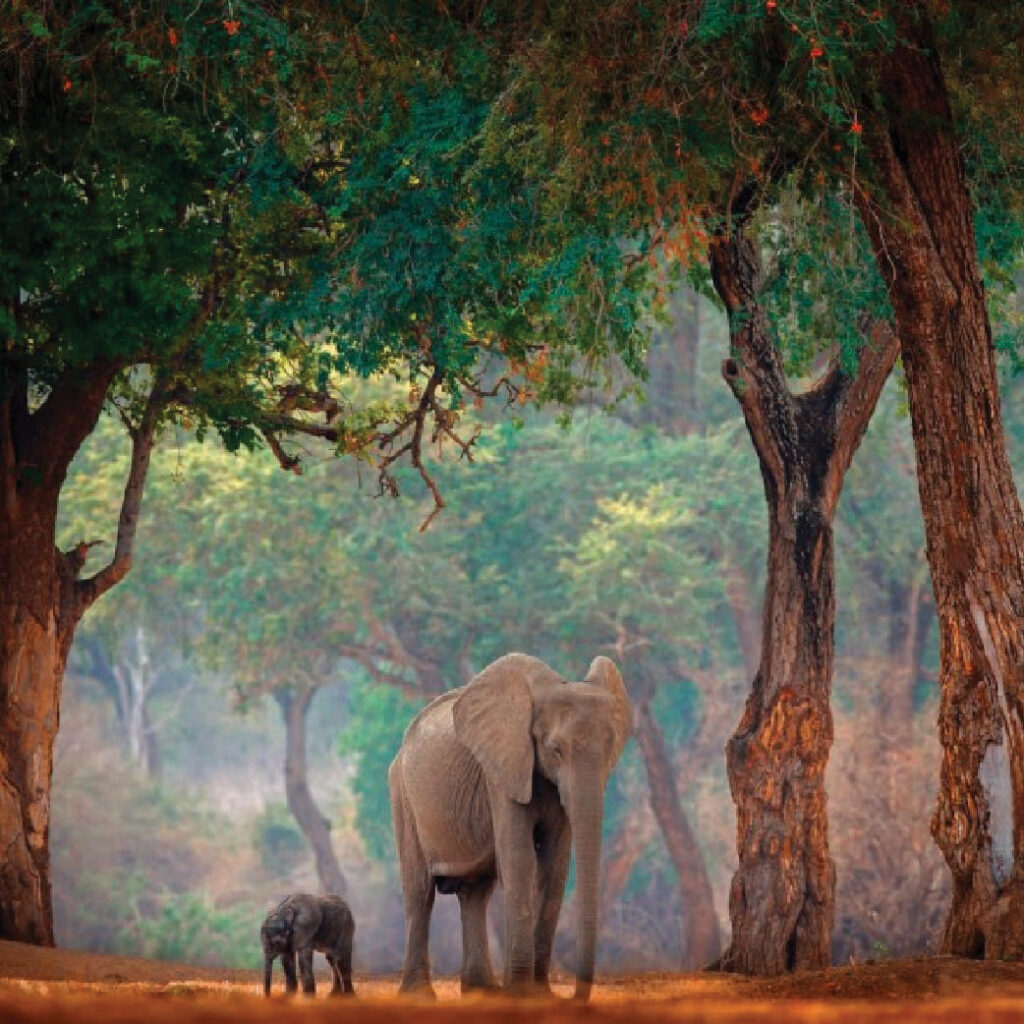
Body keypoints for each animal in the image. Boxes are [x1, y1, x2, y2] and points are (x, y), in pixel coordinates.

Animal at [388, 652, 632, 1001]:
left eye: (612, 747)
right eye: (555, 749)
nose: (572, 997)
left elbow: (554, 865)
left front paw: (541, 994)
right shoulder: (502, 772)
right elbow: (520, 859)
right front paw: (522, 993)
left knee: (475, 893)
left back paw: (481, 991)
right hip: (403, 795)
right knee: (420, 891)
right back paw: (419, 996)